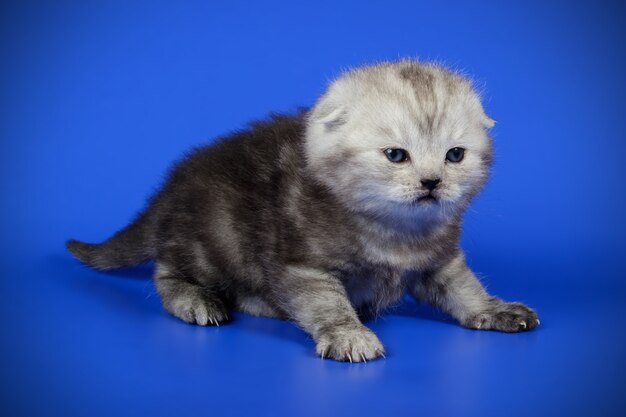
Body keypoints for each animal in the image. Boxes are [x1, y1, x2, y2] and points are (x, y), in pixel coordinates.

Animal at [67, 59, 536, 360]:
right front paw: (349, 335)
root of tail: (171, 189)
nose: (432, 182)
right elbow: (328, 302)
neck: (394, 231)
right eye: (396, 155)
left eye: (455, 155)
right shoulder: (304, 264)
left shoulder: (440, 259)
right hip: (212, 238)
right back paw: (194, 299)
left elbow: (463, 288)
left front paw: (495, 309)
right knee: (166, 270)